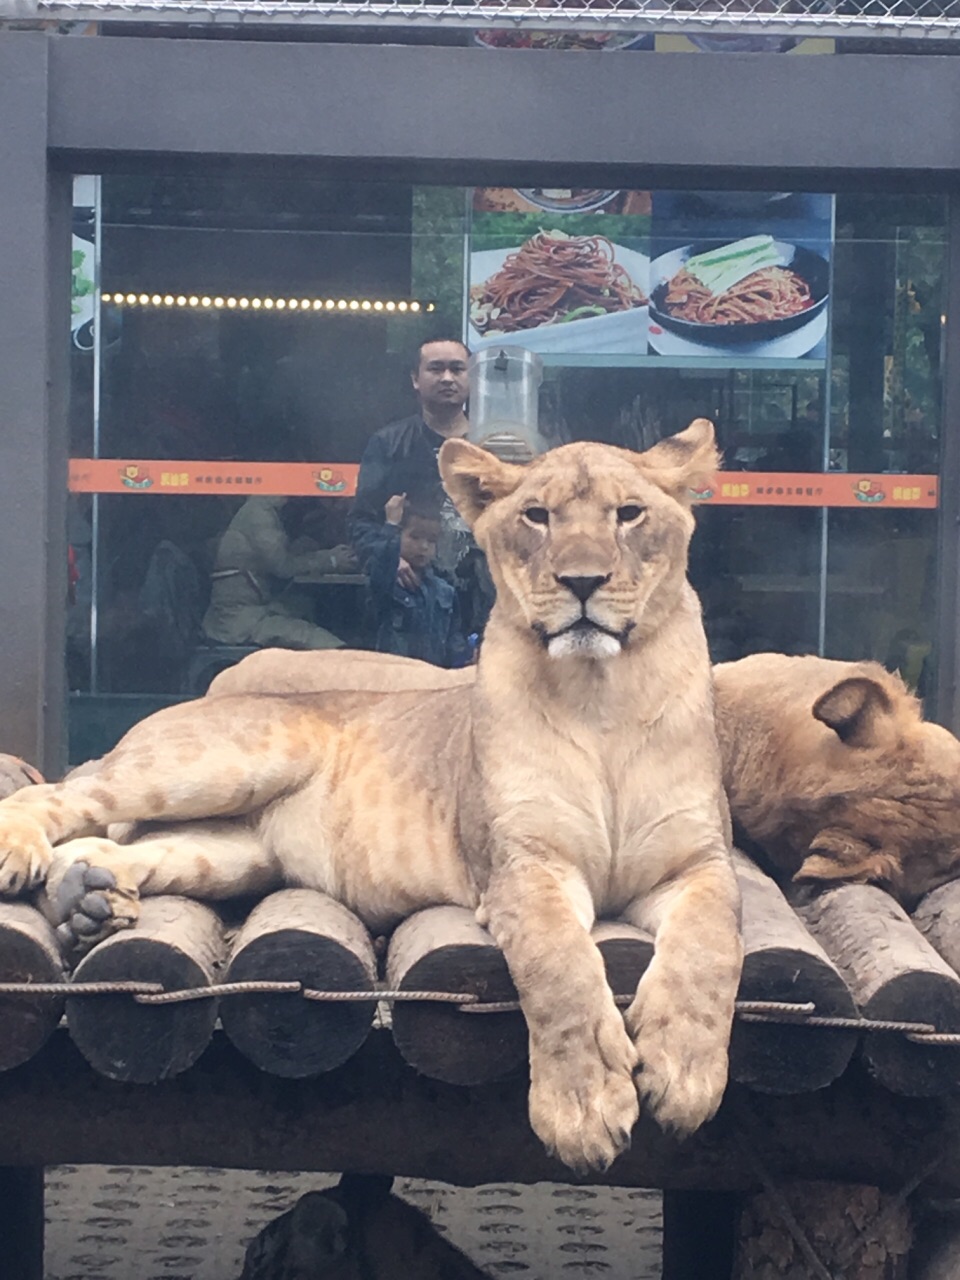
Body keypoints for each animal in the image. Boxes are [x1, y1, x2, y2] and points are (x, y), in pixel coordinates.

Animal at [0, 417, 742, 1172]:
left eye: (630, 514)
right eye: (538, 516)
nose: (582, 581)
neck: (603, 698)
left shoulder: (701, 863)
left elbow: (711, 949)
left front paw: (684, 1075)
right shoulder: (522, 867)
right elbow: (560, 966)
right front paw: (583, 1109)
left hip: (242, 851)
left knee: (133, 843)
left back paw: (86, 896)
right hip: (228, 756)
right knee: (65, 792)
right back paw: (24, 855)